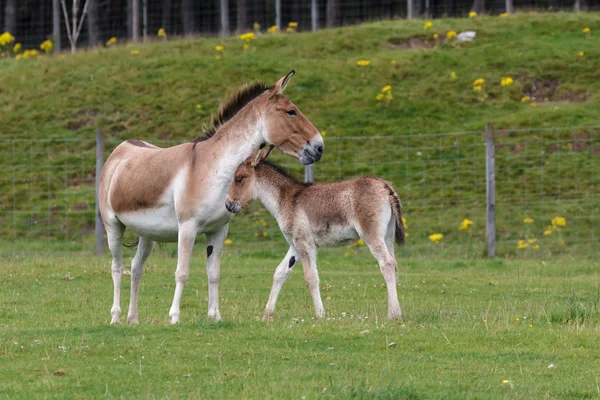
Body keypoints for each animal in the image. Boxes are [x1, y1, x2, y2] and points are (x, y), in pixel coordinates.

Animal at [99, 70, 324, 324]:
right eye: (291, 111)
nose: (319, 147)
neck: (213, 168)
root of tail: (121, 149)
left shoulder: (219, 230)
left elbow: (214, 273)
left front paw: (215, 316)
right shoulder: (187, 228)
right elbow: (182, 273)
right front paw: (174, 317)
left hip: (147, 234)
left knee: (136, 267)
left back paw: (133, 319)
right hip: (113, 227)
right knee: (117, 268)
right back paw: (116, 317)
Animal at [227, 158, 406, 320]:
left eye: (239, 179)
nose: (228, 205)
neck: (287, 199)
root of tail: (385, 186)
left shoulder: (305, 244)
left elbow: (311, 277)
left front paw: (320, 314)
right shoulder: (295, 245)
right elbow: (280, 272)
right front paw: (267, 314)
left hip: (372, 236)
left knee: (387, 264)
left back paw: (394, 314)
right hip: (387, 236)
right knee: (394, 265)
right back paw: (395, 309)